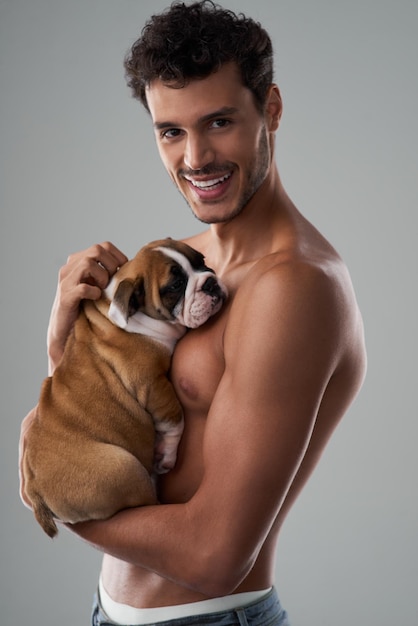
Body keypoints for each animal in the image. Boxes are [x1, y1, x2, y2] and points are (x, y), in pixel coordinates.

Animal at [21, 236, 227, 532]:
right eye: (175, 286)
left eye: (202, 261)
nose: (210, 281)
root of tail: (36, 490)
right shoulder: (153, 384)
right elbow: (175, 419)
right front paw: (167, 454)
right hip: (125, 468)